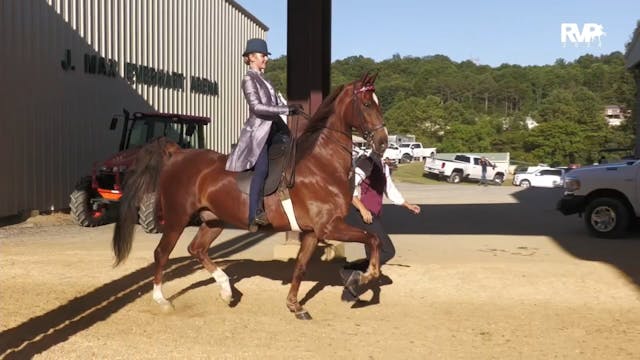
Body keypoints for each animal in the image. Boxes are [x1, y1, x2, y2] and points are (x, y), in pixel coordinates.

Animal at [112, 72, 388, 318]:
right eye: (366, 104)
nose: (383, 142)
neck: (321, 164)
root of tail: (177, 153)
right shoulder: (329, 227)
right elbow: (373, 238)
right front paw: (364, 277)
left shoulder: (312, 232)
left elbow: (300, 267)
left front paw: (295, 305)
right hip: (176, 218)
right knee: (162, 253)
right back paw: (162, 300)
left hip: (213, 220)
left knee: (196, 249)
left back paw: (226, 290)